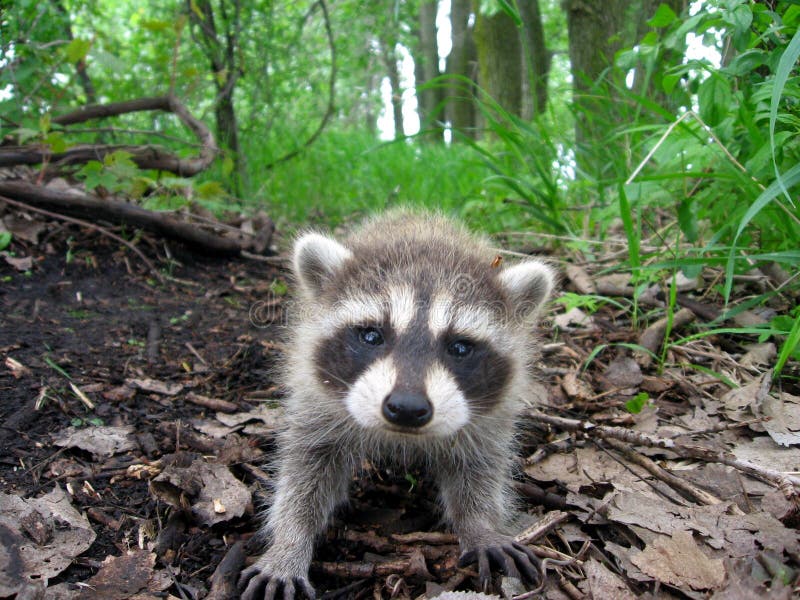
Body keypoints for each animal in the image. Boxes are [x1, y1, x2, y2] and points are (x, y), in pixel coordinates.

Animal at [239, 211, 556, 600]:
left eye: (460, 347)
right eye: (371, 335)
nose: (406, 407)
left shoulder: (492, 416)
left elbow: (479, 467)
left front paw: (482, 525)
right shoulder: (314, 397)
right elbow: (306, 468)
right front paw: (289, 540)